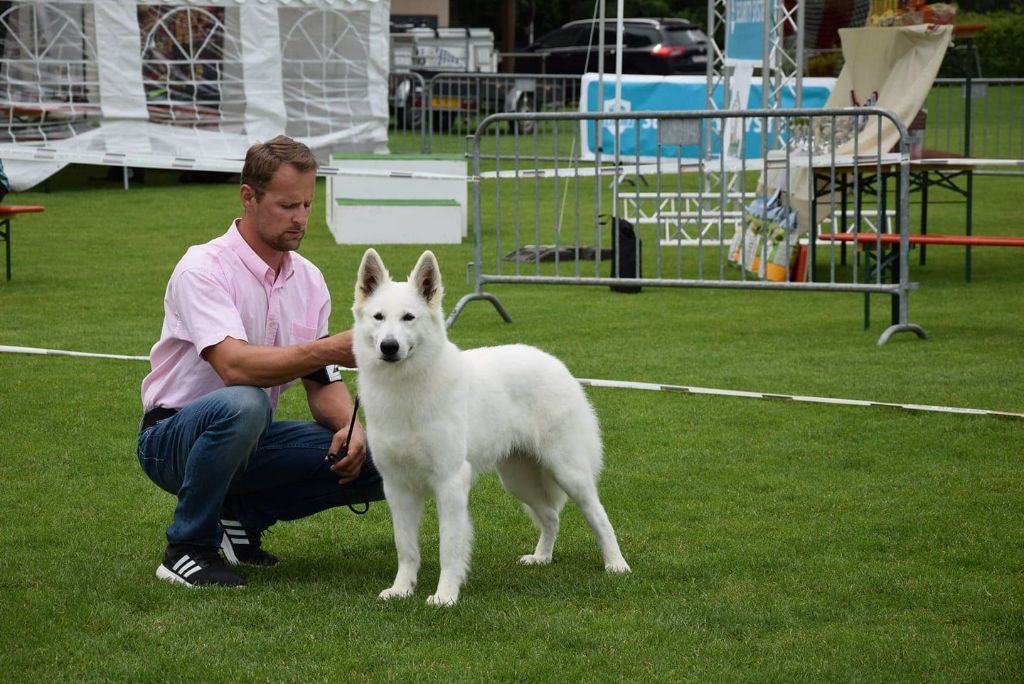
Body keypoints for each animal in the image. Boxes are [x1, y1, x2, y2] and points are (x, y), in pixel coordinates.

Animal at [351, 248, 630, 606]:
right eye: (379, 317)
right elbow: (406, 547)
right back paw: (541, 557)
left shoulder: (450, 482)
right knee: (550, 516)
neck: (406, 388)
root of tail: (555, 364)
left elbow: (449, 547)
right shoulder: (397, 487)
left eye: (408, 318)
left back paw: (616, 564)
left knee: (598, 516)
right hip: (517, 479)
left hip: (569, 473)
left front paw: (445, 596)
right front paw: (402, 589)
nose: (389, 346)